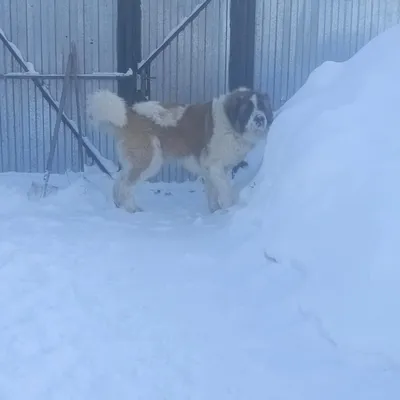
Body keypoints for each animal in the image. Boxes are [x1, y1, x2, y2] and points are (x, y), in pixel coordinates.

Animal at [86, 86, 276, 214]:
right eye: (248, 109)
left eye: (262, 107)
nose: (260, 119)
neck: (230, 124)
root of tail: (129, 113)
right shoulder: (215, 166)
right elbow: (226, 191)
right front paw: (229, 212)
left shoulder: (215, 170)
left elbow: (213, 192)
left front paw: (214, 212)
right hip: (150, 160)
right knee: (127, 184)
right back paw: (132, 209)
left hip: (136, 160)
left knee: (120, 179)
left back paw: (118, 205)